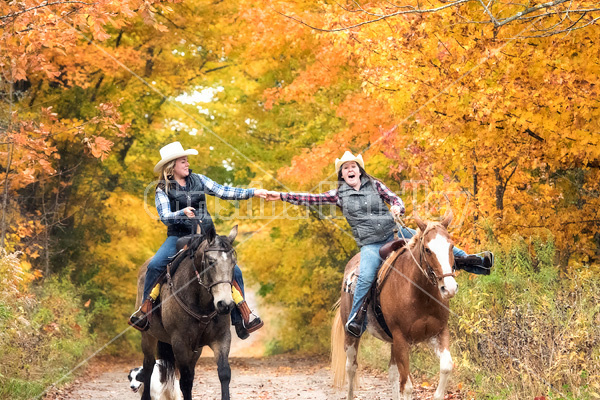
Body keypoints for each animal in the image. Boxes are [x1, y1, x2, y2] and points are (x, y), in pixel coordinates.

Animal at [134, 227, 239, 398]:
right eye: (211, 262)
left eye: (233, 263)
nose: (225, 304)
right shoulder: (180, 342)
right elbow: (185, 381)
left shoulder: (221, 338)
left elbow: (224, 373)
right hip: (148, 335)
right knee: (148, 366)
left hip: (195, 349)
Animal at [330, 212, 458, 400]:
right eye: (427, 249)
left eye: (451, 246)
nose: (449, 288)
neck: (418, 292)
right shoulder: (401, 339)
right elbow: (407, 386)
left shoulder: (439, 333)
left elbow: (446, 366)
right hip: (351, 335)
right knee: (351, 367)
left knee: (391, 372)